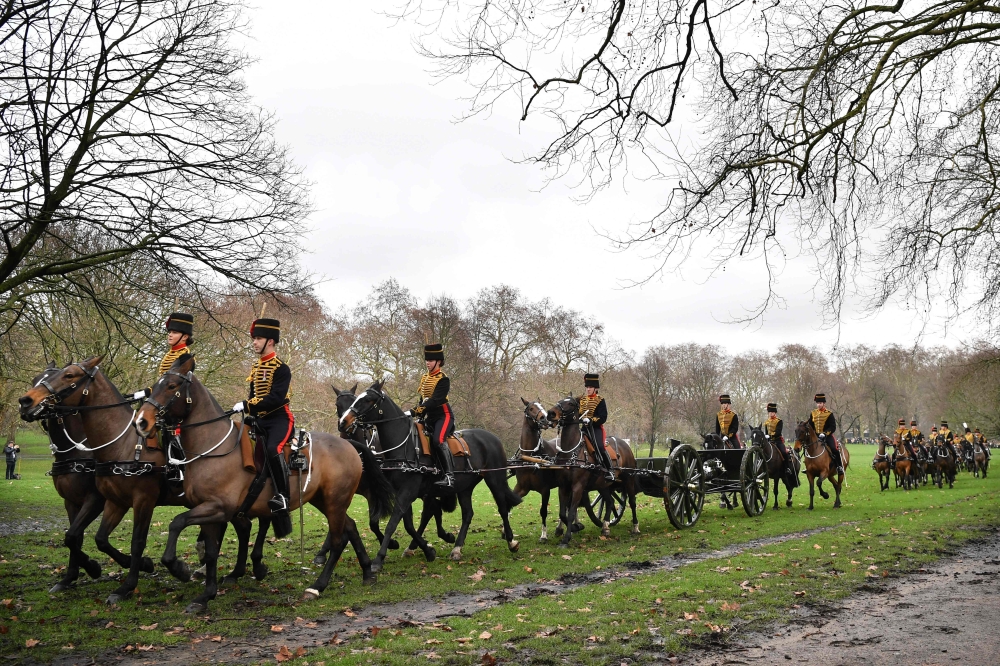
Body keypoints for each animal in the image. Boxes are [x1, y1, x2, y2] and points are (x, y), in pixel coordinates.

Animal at [135, 356, 392, 608]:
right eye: (156, 385)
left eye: (171, 386)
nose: (141, 422)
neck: (214, 448)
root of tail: (348, 443)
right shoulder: (209, 510)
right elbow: (210, 552)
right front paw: (206, 595)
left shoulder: (218, 507)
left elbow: (177, 523)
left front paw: (179, 568)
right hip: (324, 501)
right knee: (351, 527)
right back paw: (367, 572)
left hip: (335, 501)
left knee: (339, 541)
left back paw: (317, 586)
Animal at [340, 382, 520, 568]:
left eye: (368, 399)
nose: (343, 422)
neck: (405, 446)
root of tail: (493, 438)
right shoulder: (403, 492)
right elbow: (408, 524)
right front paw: (427, 550)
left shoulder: (408, 491)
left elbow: (393, 523)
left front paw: (379, 558)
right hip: (464, 487)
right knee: (467, 514)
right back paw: (457, 548)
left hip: (495, 480)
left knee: (502, 508)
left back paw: (511, 541)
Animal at [548, 394, 640, 544]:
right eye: (560, 401)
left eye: (571, 404)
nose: (551, 413)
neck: (571, 452)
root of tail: (625, 445)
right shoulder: (563, 486)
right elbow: (563, 512)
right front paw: (573, 528)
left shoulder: (578, 487)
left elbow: (571, 511)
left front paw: (567, 538)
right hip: (603, 485)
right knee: (610, 502)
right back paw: (606, 526)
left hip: (629, 480)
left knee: (632, 502)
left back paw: (635, 527)